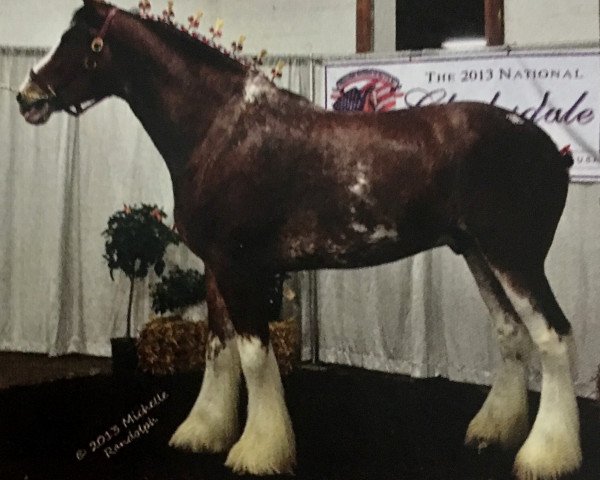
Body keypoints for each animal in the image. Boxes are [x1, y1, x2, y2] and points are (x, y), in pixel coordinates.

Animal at [16, 1, 580, 478]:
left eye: (79, 42)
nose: (26, 98)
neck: (222, 130)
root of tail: (551, 150)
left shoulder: (241, 267)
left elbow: (253, 355)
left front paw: (258, 451)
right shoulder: (217, 267)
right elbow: (218, 348)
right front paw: (205, 431)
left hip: (515, 258)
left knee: (553, 336)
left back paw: (546, 456)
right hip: (479, 255)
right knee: (512, 334)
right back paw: (494, 432)